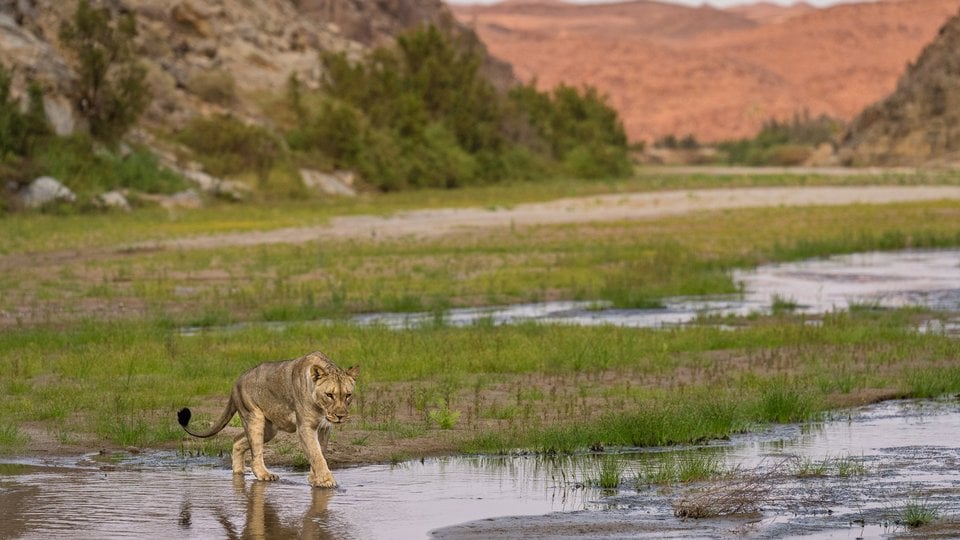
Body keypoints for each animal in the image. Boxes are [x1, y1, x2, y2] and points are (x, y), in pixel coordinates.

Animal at [177, 351, 358, 488]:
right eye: (329, 395)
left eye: (348, 395)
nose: (341, 416)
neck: (321, 407)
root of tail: (237, 381)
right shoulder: (306, 426)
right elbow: (316, 454)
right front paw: (327, 481)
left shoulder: (324, 427)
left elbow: (321, 451)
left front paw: (315, 479)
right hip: (254, 417)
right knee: (255, 455)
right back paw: (265, 474)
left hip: (269, 429)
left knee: (237, 440)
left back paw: (238, 471)